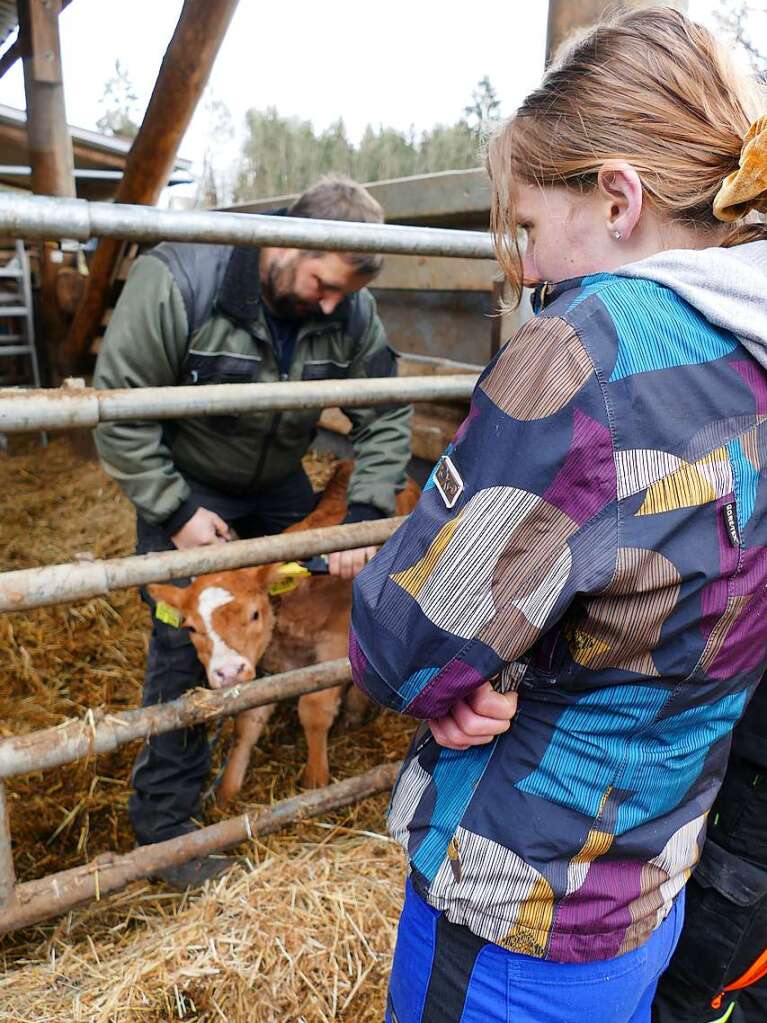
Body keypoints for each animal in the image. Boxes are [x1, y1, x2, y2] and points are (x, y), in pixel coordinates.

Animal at [146, 462, 417, 797]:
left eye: (254, 614)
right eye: (192, 628)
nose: (229, 672)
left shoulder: (335, 641)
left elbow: (313, 708)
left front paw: (315, 781)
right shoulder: (271, 666)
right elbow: (249, 720)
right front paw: (228, 793)